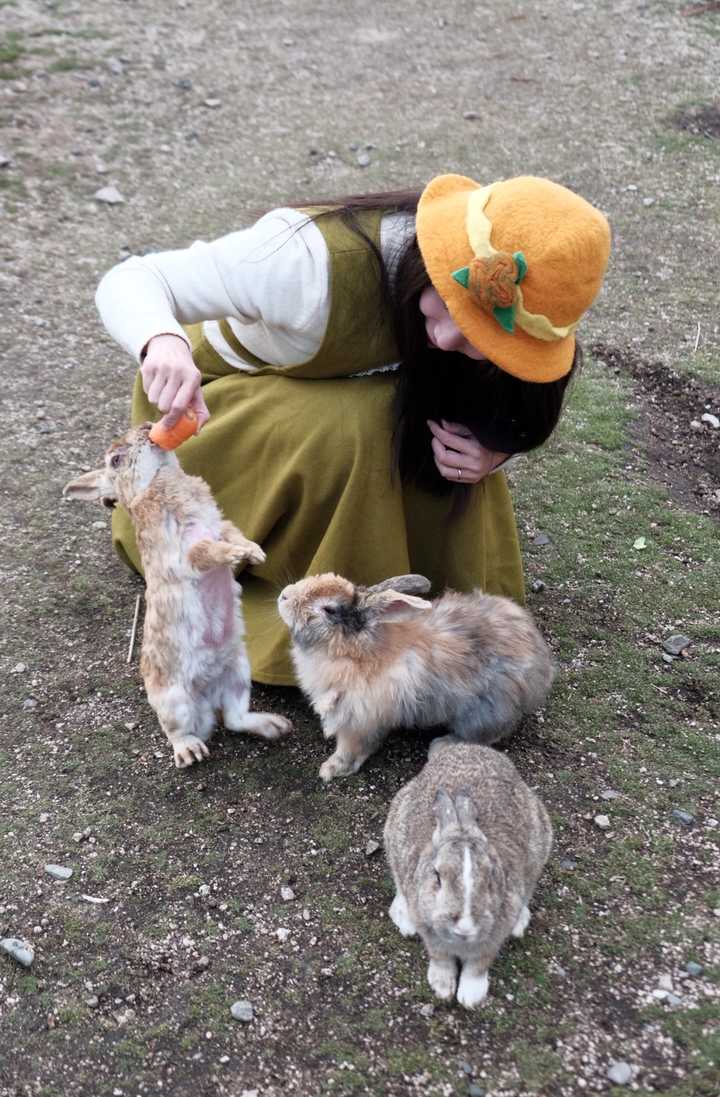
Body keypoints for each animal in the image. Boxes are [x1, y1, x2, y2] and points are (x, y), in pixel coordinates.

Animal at [63, 423, 291, 767]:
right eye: (115, 459)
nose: (147, 427)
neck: (158, 479)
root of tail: (208, 695)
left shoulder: (221, 525)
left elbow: (233, 534)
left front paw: (254, 552)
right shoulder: (184, 551)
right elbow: (208, 550)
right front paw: (236, 555)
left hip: (239, 672)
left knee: (235, 718)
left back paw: (275, 725)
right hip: (175, 700)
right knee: (180, 730)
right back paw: (190, 752)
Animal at [276, 570, 557, 785]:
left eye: (329, 609)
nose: (284, 595)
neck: (354, 649)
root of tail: (540, 666)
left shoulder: (358, 719)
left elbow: (351, 748)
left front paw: (331, 770)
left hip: (482, 712)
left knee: (488, 735)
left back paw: (441, 745)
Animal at [386, 741, 553, 1004]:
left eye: (492, 876)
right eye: (437, 877)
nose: (465, 926)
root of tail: (468, 746)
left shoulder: (493, 938)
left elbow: (478, 965)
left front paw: (471, 996)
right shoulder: (432, 936)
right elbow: (440, 958)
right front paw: (442, 987)